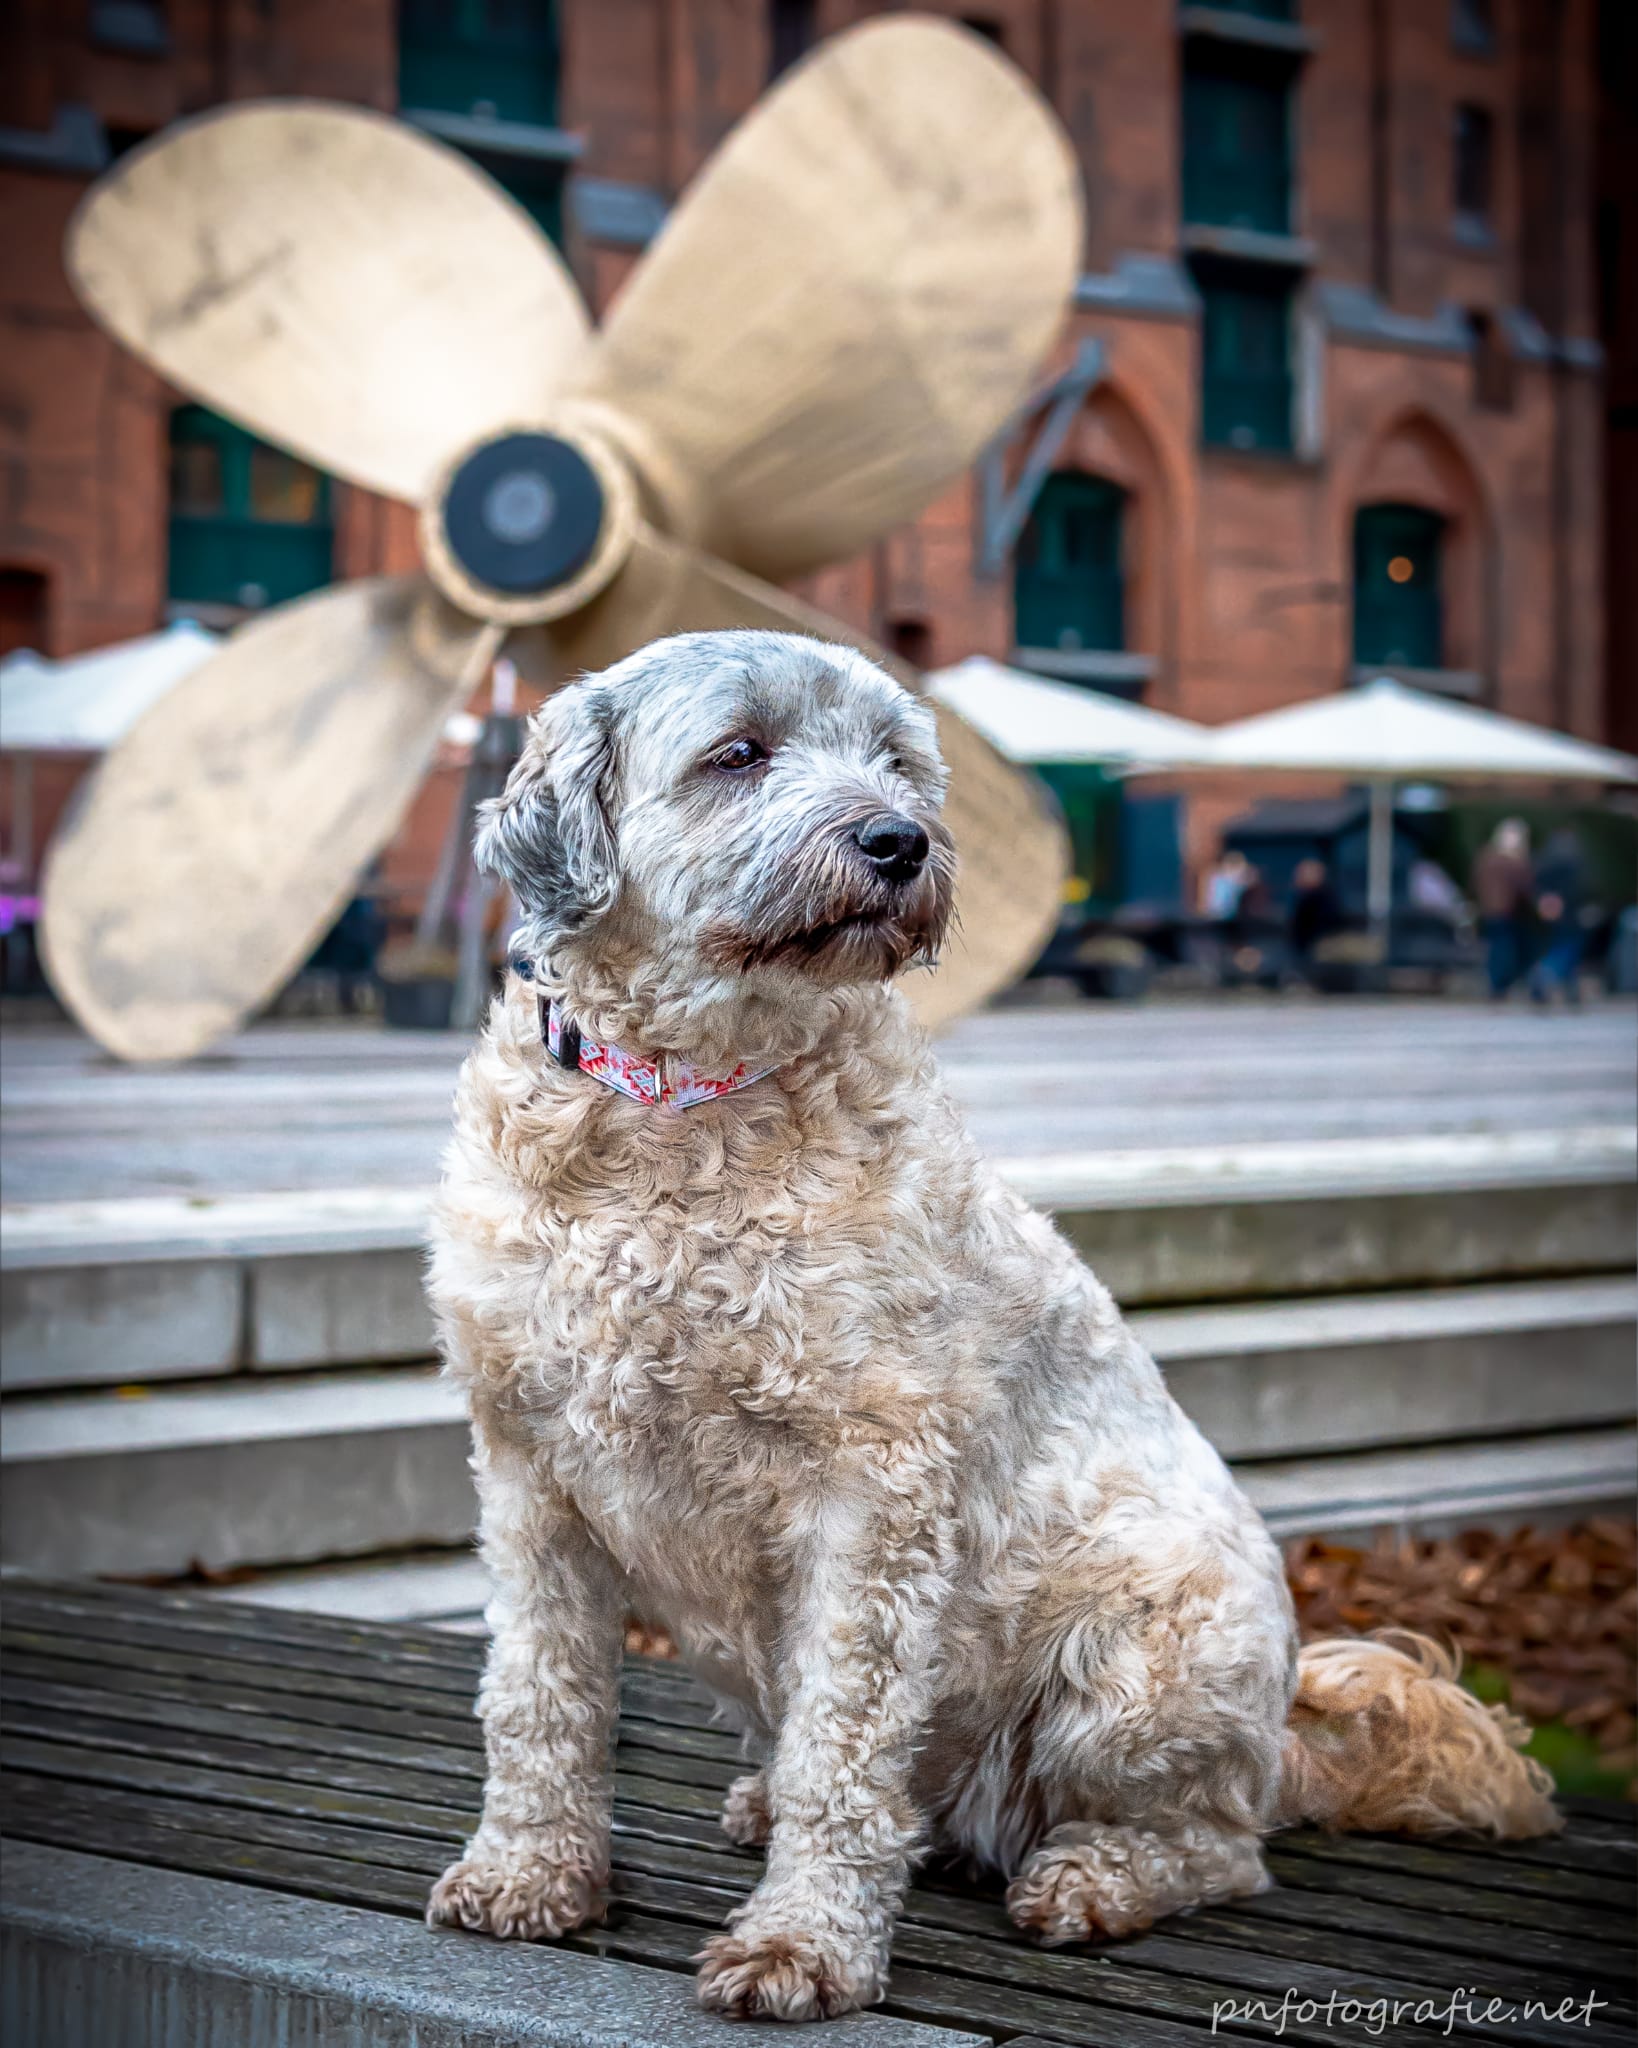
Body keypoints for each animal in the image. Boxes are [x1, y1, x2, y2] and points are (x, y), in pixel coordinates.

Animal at [425, 630, 1564, 2023]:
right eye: (738, 753)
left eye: (894, 759)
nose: (898, 839)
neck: (679, 1106)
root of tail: (1284, 1737)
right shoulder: (530, 1474)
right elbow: (539, 1696)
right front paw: (530, 1875)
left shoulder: (873, 1491)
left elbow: (846, 1740)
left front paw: (805, 1946)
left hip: (1136, 1660)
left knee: (1219, 1847)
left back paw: (1093, 1879)